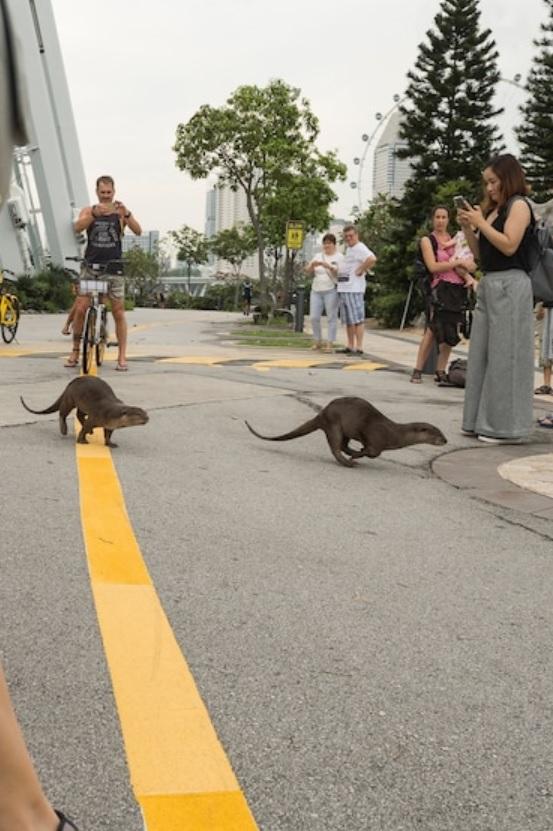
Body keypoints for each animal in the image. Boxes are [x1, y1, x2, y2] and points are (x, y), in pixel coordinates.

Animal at [20, 376, 148, 448]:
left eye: (145, 413)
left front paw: (110, 443)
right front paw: (81, 441)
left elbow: (107, 434)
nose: (147, 418)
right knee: (63, 412)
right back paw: (64, 430)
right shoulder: (95, 416)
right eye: (139, 414)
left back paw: (90, 431)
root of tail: (71, 383)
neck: (110, 413)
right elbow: (85, 428)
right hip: (70, 398)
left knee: (79, 414)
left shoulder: (110, 426)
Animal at [246, 396, 448, 468]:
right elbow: (373, 452)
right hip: (334, 424)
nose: (445, 440)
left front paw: (357, 453)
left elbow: (370, 451)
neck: (394, 433)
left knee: (342, 445)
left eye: (442, 433)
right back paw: (348, 461)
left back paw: (351, 453)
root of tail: (323, 412)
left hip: (344, 430)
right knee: (335, 447)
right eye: (437, 433)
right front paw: (358, 455)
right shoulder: (376, 439)